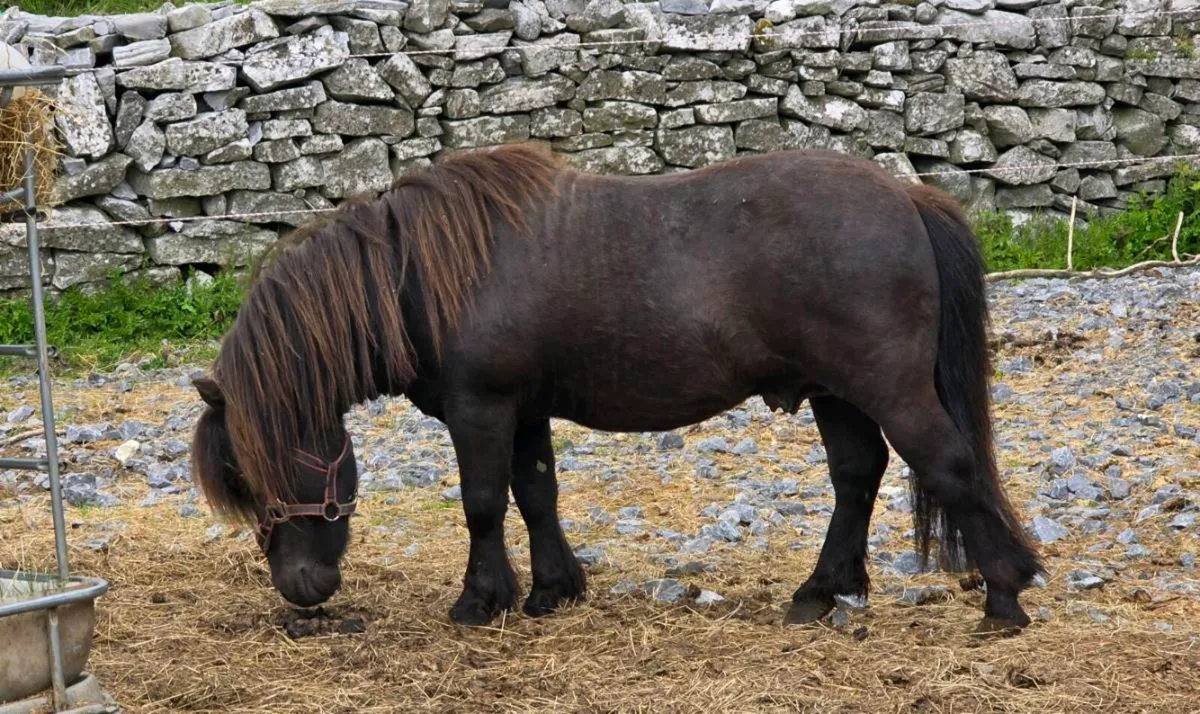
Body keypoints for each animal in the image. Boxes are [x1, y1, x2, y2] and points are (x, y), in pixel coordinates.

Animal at [190, 143, 1044, 634]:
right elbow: (536, 494)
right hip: (837, 392)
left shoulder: (481, 408)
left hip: (887, 389)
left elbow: (482, 503)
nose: (301, 589)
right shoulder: (524, 411)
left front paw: (479, 602)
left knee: (949, 468)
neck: (421, 277)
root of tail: (907, 197)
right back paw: (820, 593)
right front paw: (552, 591)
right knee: (856, 478)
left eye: (255, 472)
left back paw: (1004, 599)